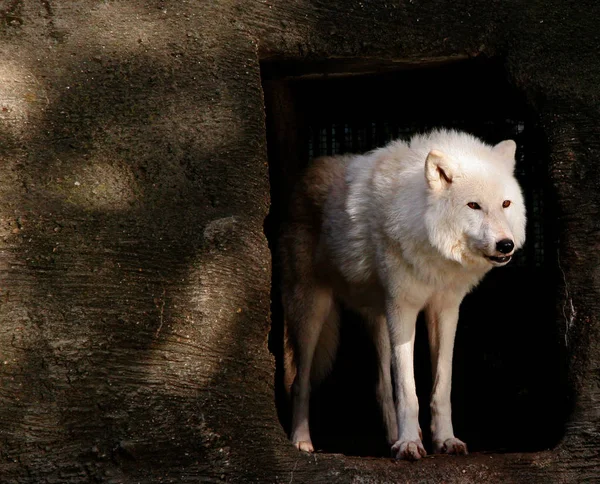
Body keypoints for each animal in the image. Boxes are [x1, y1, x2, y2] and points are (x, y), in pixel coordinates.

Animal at [280, 129, 524, 462]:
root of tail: (307, 171)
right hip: (312, 312)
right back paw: (301, 440)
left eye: (505, 204)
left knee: (382, 385)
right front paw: (409, 445)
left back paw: (393, 437)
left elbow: (440, 387)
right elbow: (408, 390)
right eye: (474, 205)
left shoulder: (445, 309)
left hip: (379, 319)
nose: (505, 245)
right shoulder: (403, 307)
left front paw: (444, 440)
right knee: (300, 382)